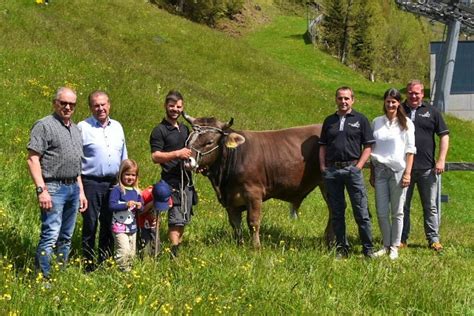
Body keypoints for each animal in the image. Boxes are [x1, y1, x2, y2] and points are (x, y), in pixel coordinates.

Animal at [182, 113, 334, 249]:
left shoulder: (254, 194)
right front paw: (240, 245)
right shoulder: (230, 200)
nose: (187, 160)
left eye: (209, 142)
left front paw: (256, 248)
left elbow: (253, 222)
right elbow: (235, 224)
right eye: (188, 140)